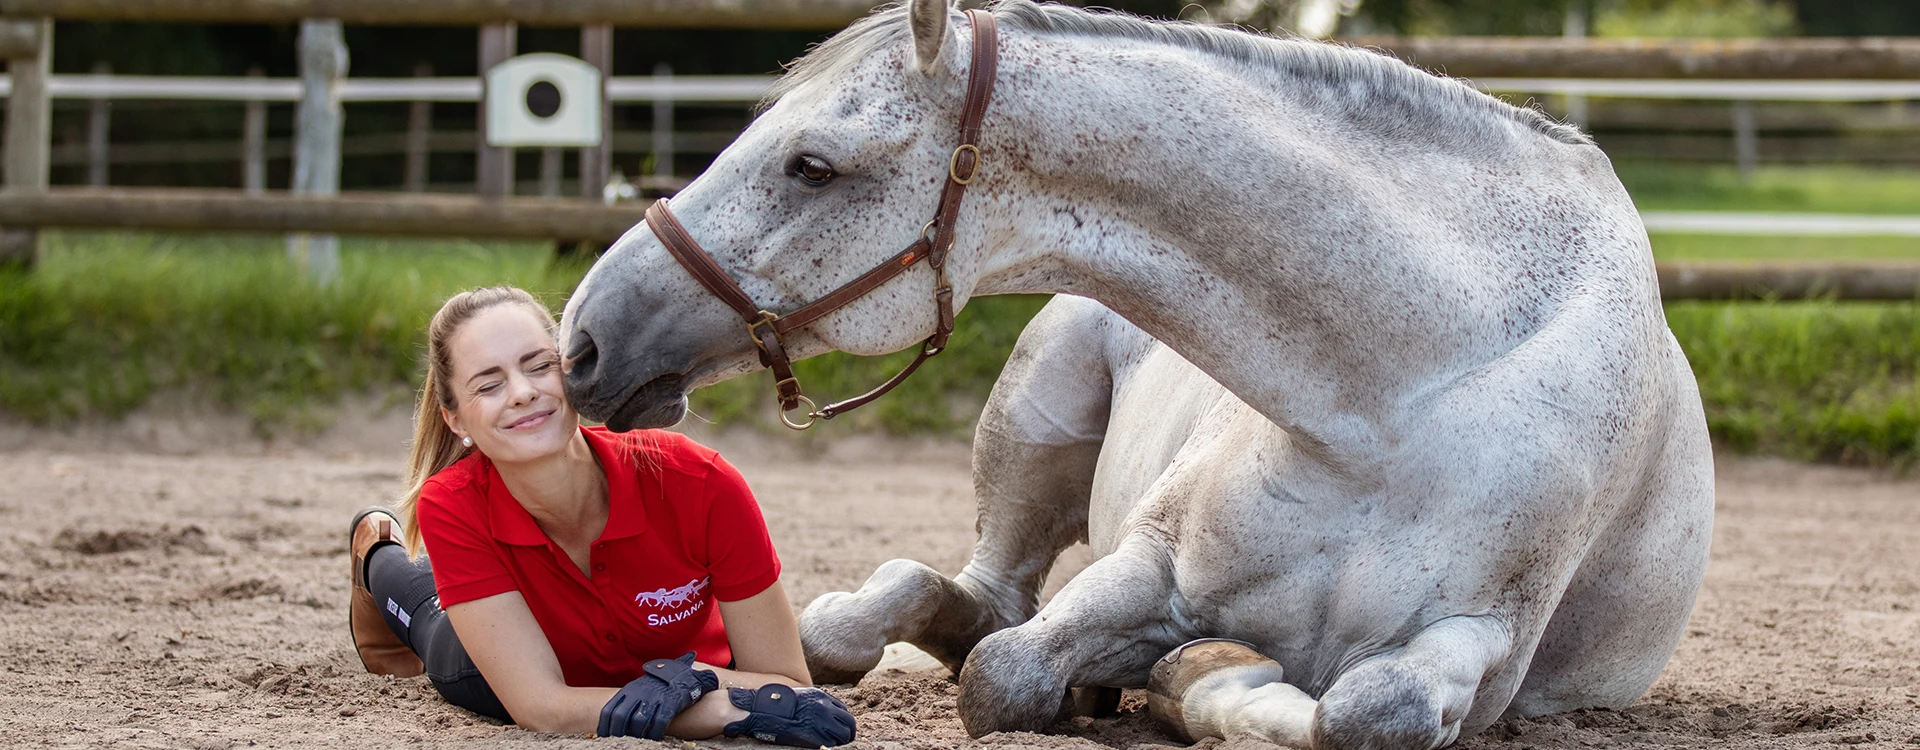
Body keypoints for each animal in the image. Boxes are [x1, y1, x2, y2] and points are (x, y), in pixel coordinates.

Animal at [556, 1, 1714, 747]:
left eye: (812, 165)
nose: (583, 338)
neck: (1397, 401)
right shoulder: (1153, 567)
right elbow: (1006, 674)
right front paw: (1170, 684)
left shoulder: (1477, 649)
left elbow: (1362, 712)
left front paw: (1199, 689)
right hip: (1037, 415)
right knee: (964, 598)